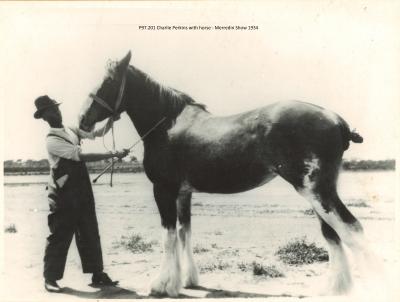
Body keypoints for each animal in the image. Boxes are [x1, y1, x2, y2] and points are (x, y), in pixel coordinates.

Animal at [79, 52, 372, 298]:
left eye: (108, 81)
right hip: (318, 191)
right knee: (333, 232)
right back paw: (336, 288)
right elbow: (184, 232)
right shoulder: (183, 194)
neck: (167, 124)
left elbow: (168, 235)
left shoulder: (164, 190)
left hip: (314, 190)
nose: (82, 120)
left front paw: (162, 285)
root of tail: (335, 119)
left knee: (351, 228)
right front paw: (187, 280)